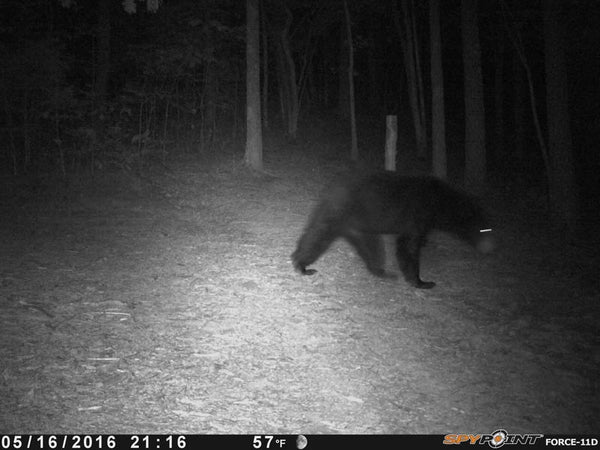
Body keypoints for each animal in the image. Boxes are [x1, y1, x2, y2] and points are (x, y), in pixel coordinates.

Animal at [290, 172, 492, 288]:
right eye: (484, 229)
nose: (489, 246)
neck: (441, 203)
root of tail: (331, 188)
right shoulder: (417, 214)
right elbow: (408, 246)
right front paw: (422, 282)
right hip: (341, 211)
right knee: (319, 234)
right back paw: (302, 265)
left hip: (360, 226)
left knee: (372, 248)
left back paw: (382, 272)